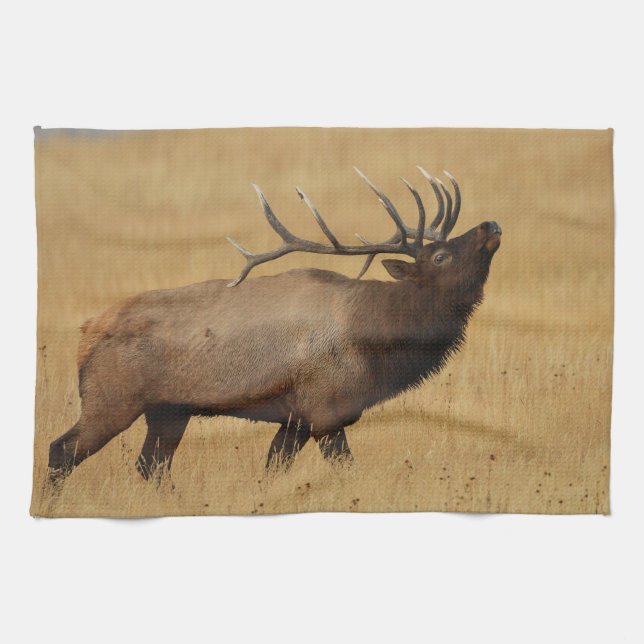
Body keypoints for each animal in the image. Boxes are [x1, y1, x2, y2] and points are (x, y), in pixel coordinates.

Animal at [47, 166, 501, 483]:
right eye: (440, 256)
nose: (491, 225)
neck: (375, 347)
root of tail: (86, 332)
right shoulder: (325, 409)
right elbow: (347, 472)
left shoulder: (295, 418)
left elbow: (271, 472)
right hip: (111, 398)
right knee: (61, 452)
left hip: (168, 410)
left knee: (150, 467)